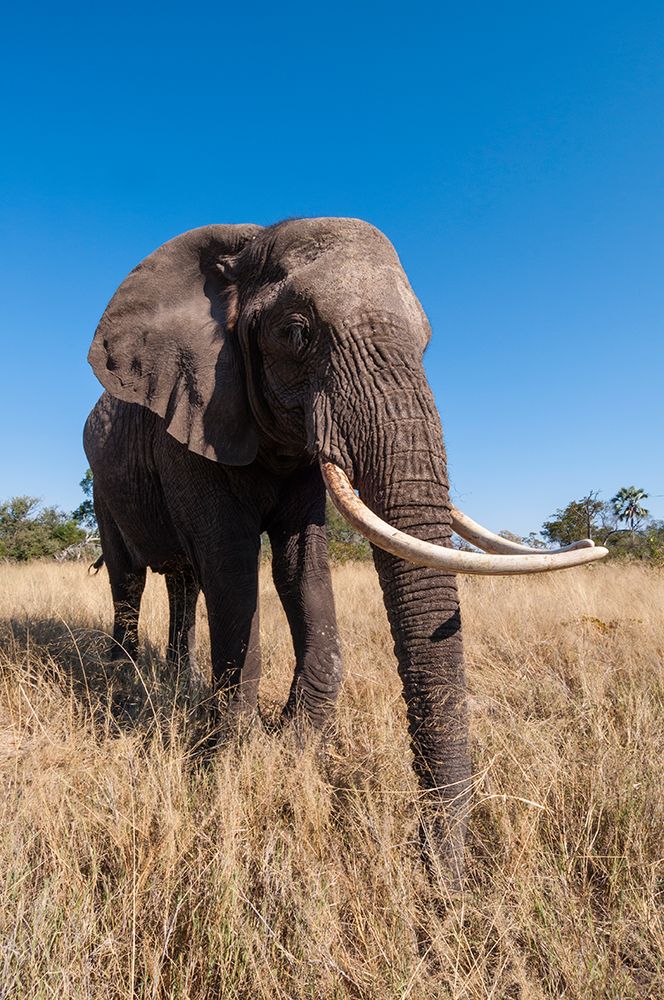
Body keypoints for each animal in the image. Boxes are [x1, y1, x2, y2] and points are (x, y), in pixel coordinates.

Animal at [84, 218, 607, 880]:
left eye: (427, 343)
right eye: (295, 333)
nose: (441, 878)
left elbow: (301, 567)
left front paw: (294, 748)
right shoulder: (193, 419)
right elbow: (232, 565)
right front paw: (230, 761)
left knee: (183, 581)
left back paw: (175, 676)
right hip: (101, 477)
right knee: (129, 575)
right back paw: (125, 679)